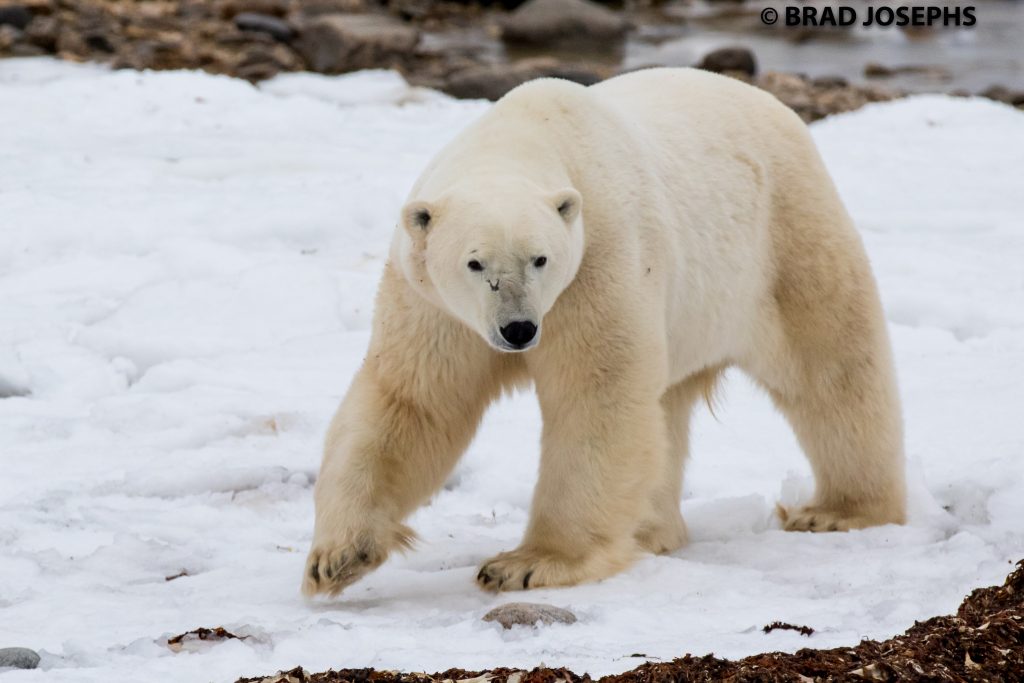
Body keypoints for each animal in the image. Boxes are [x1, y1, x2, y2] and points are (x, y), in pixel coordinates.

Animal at [302, 67, 906, 597]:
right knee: (667, 406)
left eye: (540, 258)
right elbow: (414, 401)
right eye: (475, 264)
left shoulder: (598, 260)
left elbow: (597, 395)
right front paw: (338, 557)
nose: (518, 330)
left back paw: (838, 510)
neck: (524, 136)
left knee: (832, 367)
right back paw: (651, 530)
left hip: (784, 235)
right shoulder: (436, 305)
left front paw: (528, 564)